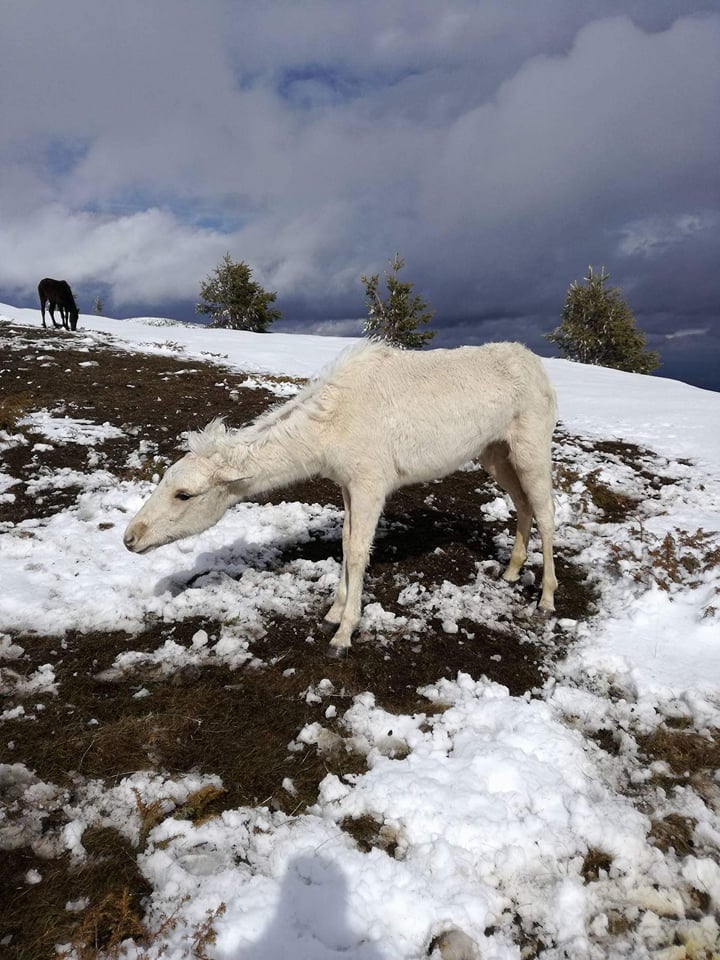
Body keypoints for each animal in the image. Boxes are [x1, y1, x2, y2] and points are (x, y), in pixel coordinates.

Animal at [124, 342, 556, 656]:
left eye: (184, 494)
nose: (131, 538)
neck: (327, 431)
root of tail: (538, 367)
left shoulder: (370, 483)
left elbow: (359, 551)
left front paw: (344, 634)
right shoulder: (347, 486)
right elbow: (346, 545)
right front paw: (333, 613)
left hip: (532, 446)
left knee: (546, 512)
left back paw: (547, 599)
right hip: (494, 451)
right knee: (523, 504)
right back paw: (512, 571)